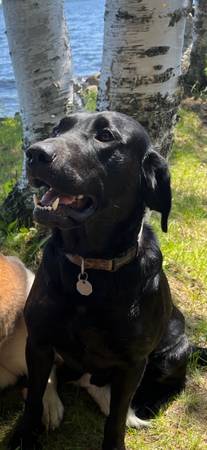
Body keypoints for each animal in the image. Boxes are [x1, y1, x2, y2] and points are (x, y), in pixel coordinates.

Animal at [9, 111, 205, 450]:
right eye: (59, 128)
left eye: (105, 136)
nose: (34, 153)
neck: (88, 267)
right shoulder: (39, 342)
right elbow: (33, 396)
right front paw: (24, 436)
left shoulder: (132, 364)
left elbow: (116, 418)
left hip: (175, 351)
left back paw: (143, 408)